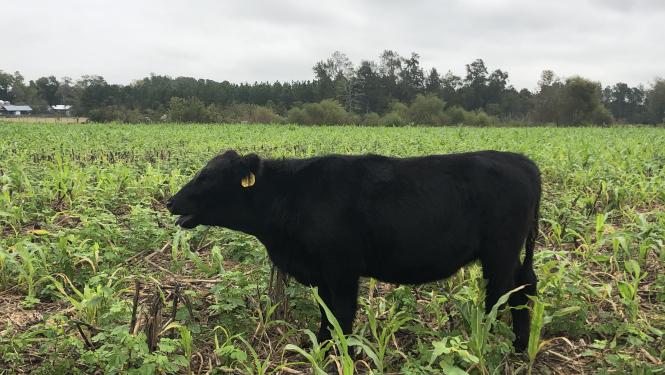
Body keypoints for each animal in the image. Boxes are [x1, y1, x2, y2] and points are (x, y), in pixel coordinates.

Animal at [166, 151, 540, 352]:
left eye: (208, 178)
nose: (170, 201)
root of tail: (520, 161)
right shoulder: (320, 272)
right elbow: (325, 312)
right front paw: (318, 345)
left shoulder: (342, 267)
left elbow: (343, 313)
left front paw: (341, 354)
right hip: (513, 256)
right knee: (526, 287)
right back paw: (520, 346)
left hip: (500, 253)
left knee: (503, 296)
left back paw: (490, 343)